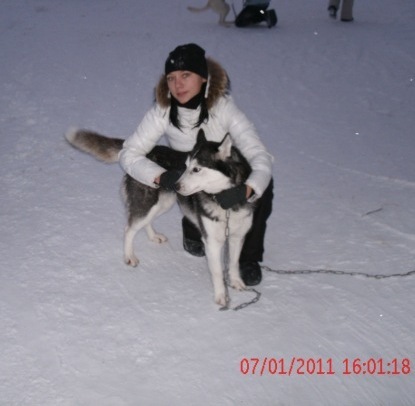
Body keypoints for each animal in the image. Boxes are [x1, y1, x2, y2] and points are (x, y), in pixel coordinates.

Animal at [65, 128, 254, 306]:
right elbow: (216, 272)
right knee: (129, 229)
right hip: (149, 203)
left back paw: (153, 236)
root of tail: (147, 150)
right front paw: (221, 296)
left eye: (196, 169)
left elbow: (234, 263)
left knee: (145, 222)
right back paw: (129, 255)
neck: (226, 203)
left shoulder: (238, 236)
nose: (176, 184)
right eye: (185, 166)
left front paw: (236, 282)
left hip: (164, 203)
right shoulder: (212, 241)